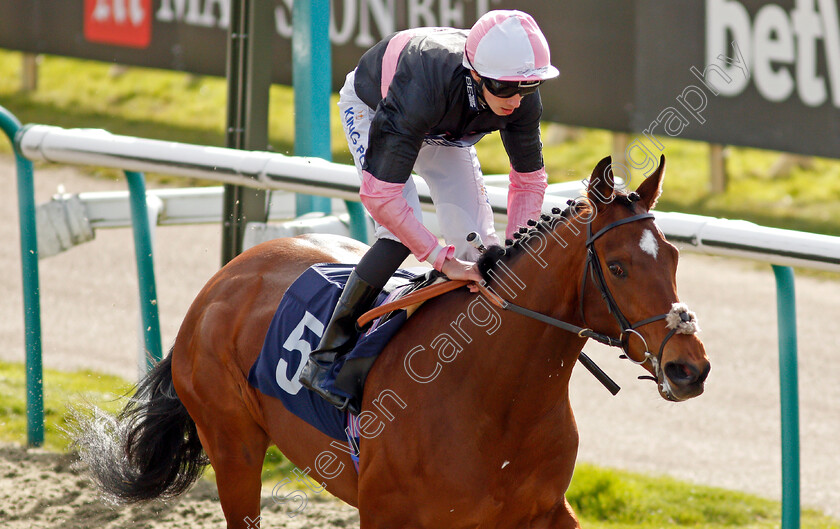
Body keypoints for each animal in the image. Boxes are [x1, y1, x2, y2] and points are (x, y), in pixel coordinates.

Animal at [74, 155, 708, 524]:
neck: (496, 399)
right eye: (618, 267)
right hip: (233, 444)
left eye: (674, 258)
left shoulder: (541, 512)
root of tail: (224, 277)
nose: (689, 367)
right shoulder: (388, 514)